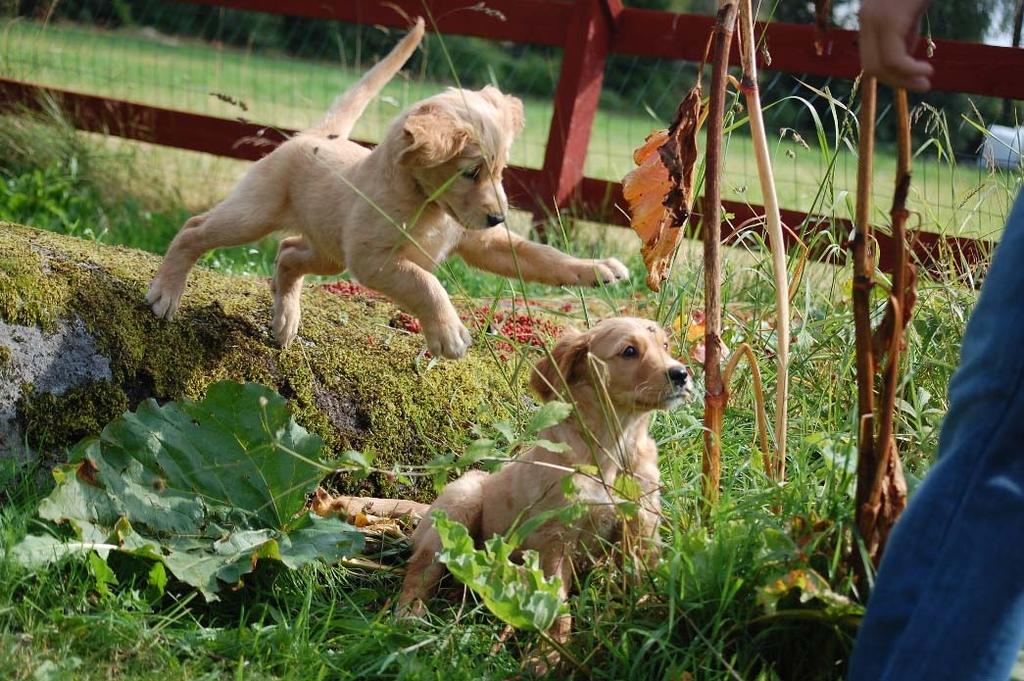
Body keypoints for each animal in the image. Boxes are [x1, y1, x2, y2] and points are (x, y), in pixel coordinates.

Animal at [142, 18, 622, 358]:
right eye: (470, 172)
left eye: (502, 170)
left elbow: (543, 256)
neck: (426, 203)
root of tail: (312, 135)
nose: (498, 217)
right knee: (195, 229)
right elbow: (427, 282)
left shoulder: (482, 243)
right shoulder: (374, 259)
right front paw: (448, 333)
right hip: (256, 214)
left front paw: (597, 269)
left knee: (288, 251)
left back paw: (285, 318)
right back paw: (166, 294)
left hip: (331, 251)